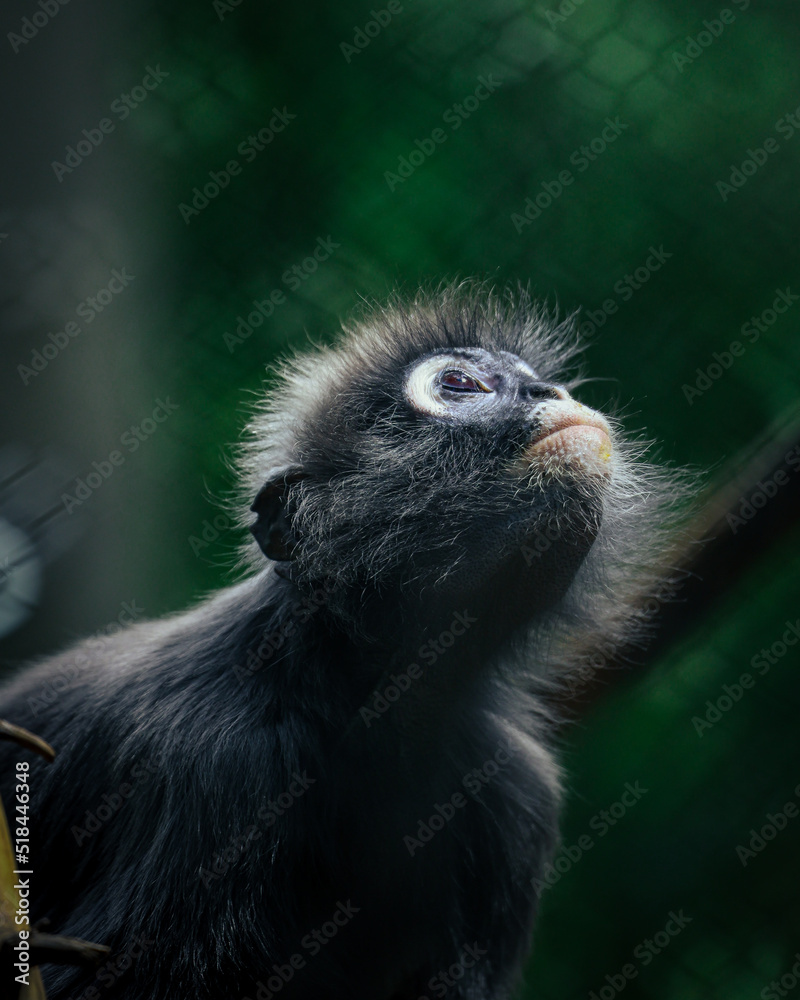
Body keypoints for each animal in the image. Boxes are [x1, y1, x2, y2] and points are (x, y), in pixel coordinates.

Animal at [0, 283, 685, 1000]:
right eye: (461, 383)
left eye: (538, 381)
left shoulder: (516, 793)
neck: (364, 707)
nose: (547, 391)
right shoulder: (216, 762)